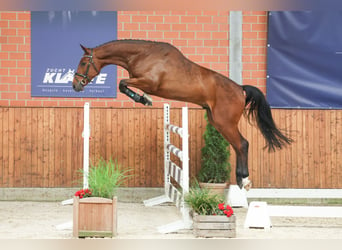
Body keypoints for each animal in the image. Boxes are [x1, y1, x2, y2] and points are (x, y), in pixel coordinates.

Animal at [72, 39, 292, 189]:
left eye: (83, 63)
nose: (75, 86)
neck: (142, 54)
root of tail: (240, 89)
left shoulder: (149, 82)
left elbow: (122, 83)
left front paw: (144, 99)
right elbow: (123, 84)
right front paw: (144, 99)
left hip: (225, 122)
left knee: (242, 144)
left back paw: (244, 180)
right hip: (217, 121)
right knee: (238, 146)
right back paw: (240, 179)